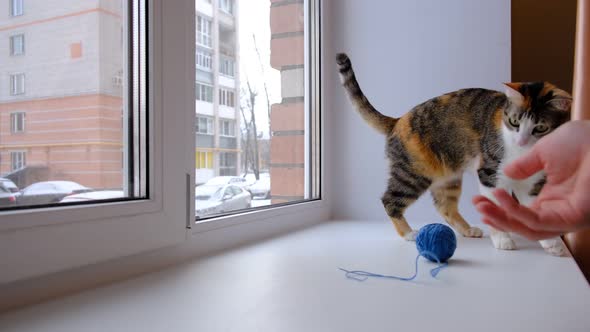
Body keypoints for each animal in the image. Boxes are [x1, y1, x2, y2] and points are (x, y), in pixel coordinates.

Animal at [338, 52, 572, 255]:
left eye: (540, 128)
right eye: (515, 122)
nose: (521, 140)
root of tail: (398, 120)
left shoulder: (532, 183)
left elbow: (536, 212)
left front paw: (552, 244)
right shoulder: (490, 175)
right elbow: (494, 208)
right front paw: (503, 240)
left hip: (448, 178)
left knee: (445, 207)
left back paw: (467, 230)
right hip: (413, 174)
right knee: (390, 200)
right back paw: (409, 233)